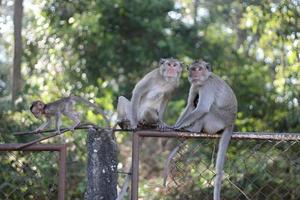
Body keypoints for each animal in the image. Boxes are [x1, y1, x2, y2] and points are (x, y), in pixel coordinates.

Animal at [175, 59, 238, 200]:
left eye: (199, 69)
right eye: (192, 69)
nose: (195, 74)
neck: (203, 80)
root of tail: (231, 122)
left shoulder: (207, 86)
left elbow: (203, 108)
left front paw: (177, 127)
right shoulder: (194, 86)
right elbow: (189, 106)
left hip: (217, 120)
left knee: (208, 110)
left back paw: (195, 129)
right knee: (196, 102)